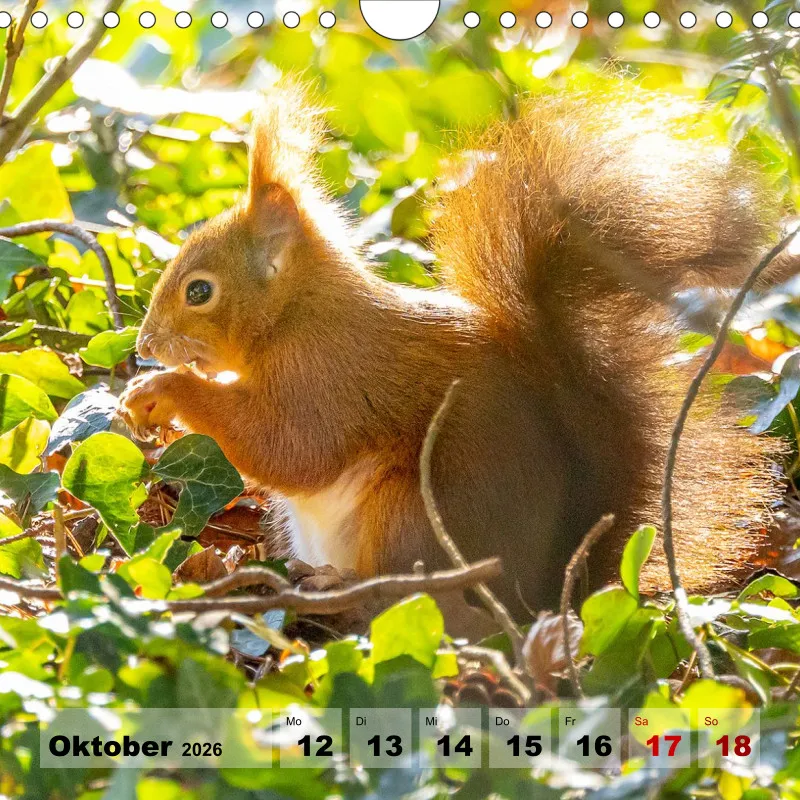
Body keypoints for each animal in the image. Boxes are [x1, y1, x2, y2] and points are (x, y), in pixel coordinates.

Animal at [119, 81, 786, 617]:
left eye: (199, 291)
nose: (146, 344)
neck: (295, 313)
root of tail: (544, 598)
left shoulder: (333, 371)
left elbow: (290, 448)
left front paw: (165, 392)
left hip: (412, 516)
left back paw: (337, 588)